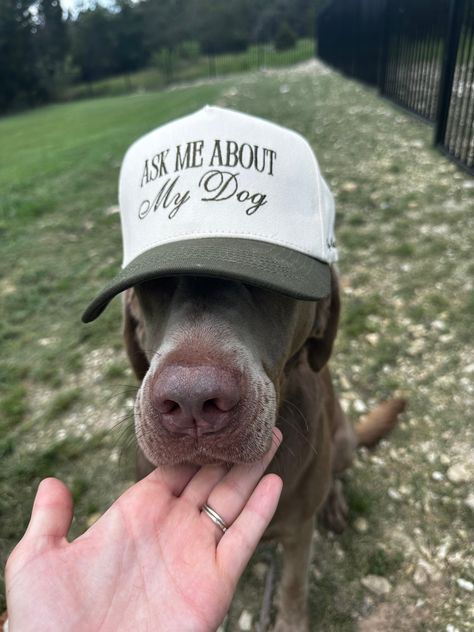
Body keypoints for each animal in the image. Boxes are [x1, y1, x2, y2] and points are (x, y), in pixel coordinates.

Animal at [121, 268, 404, 632]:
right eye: (155, 288)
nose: (191, 399)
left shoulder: (299, 530)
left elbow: (294, 582)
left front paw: (291, 622)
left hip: (343, 444)